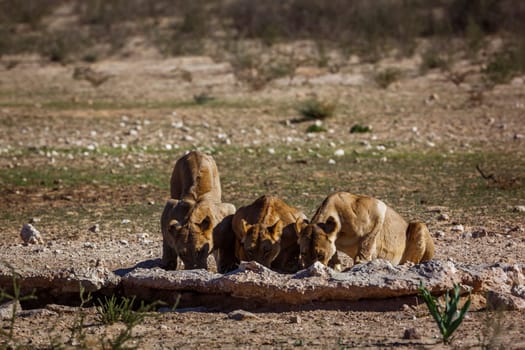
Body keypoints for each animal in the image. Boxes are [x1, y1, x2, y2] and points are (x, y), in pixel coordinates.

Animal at [294, 191, 434, 270]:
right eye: (304, 253)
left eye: (320, 255)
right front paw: (335, 266)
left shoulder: (377, 211)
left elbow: (366, 246)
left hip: (420, 226)